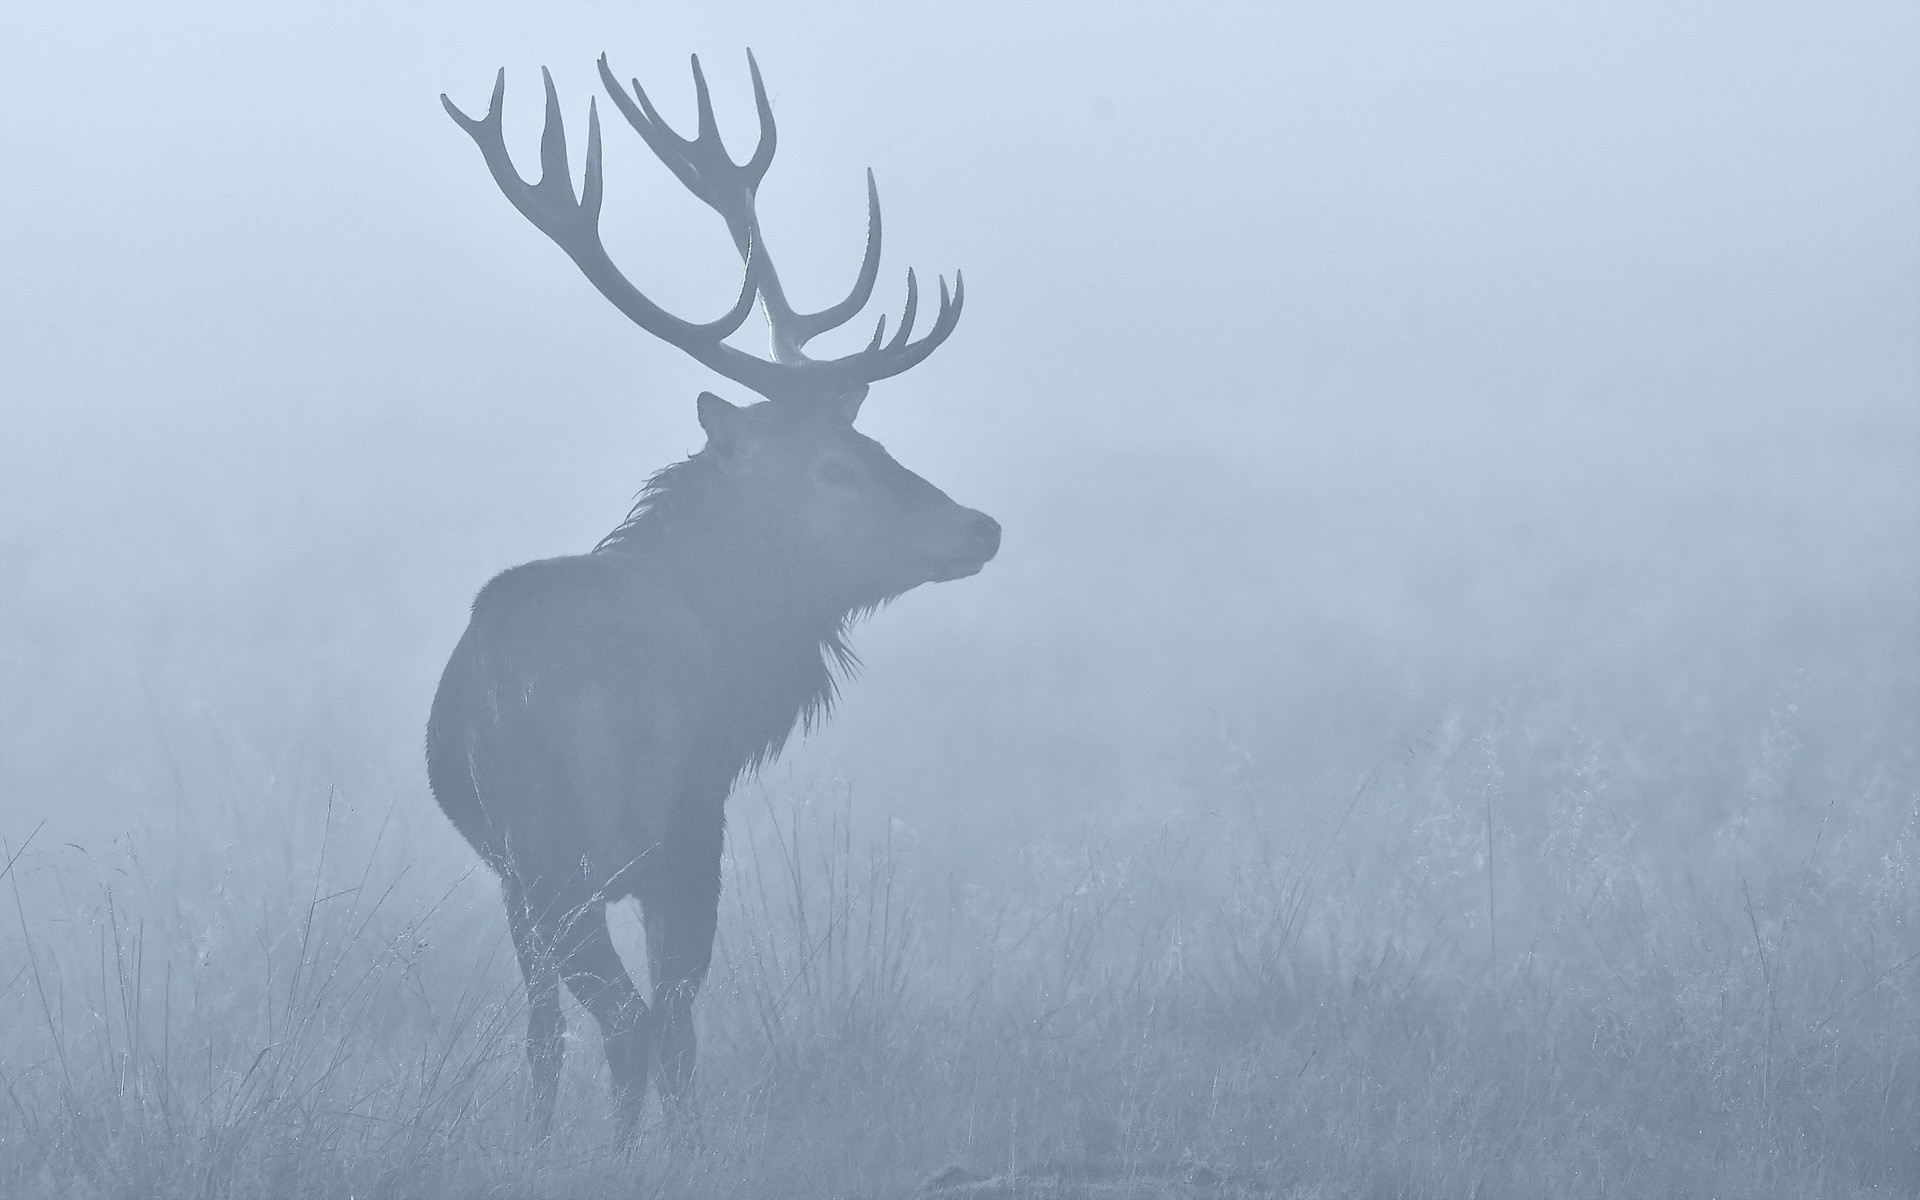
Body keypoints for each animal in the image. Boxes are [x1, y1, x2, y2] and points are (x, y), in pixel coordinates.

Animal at [426, 52, 998, 1138]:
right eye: (834, 468)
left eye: (872, 443)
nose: (980, 527)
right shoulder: (655, 833)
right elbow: (632, 1025)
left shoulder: (516, 873)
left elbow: (543, 1037)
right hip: (626, 839)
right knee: (652, 1019)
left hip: (564, 848)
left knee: (612, 1020)